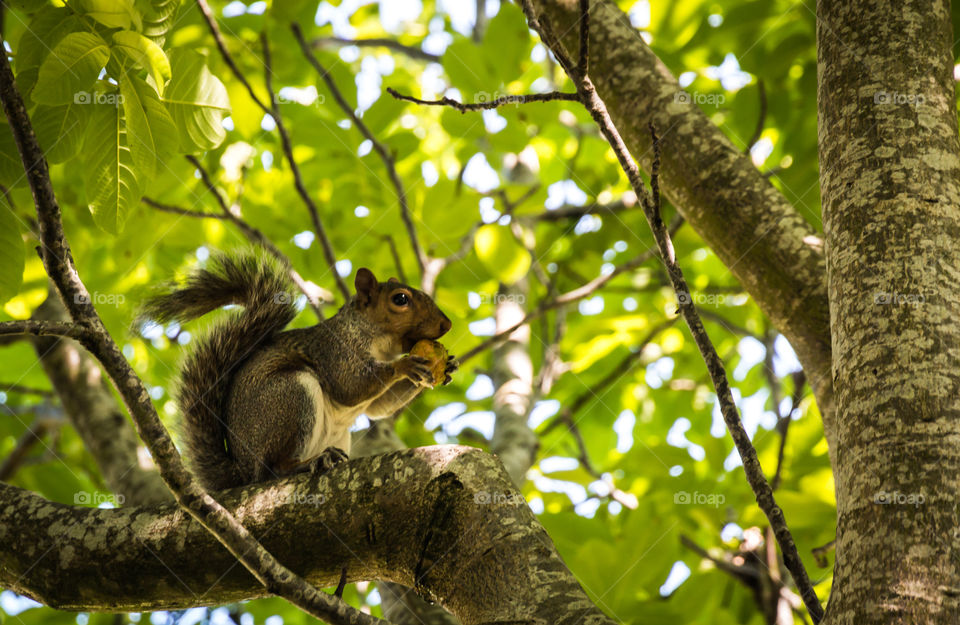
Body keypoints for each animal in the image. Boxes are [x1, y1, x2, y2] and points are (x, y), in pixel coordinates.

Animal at [141, 251, 460, 490]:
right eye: (400, 299)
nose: (447, 325)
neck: (380, 343)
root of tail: (243, 472)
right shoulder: (335, 351)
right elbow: (351, 386)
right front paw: (404, 364)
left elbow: (378, 407)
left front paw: (447, 366)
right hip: (290, 396)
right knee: (274, 469)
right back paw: (307, 463)